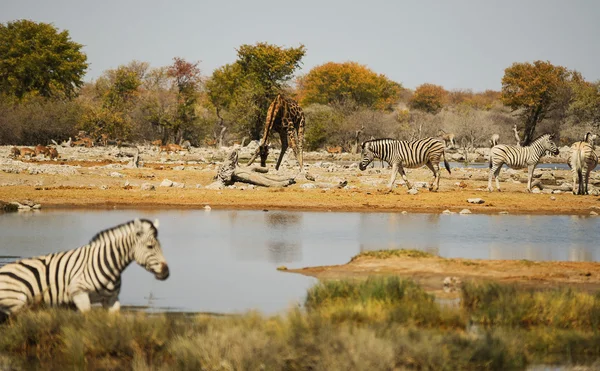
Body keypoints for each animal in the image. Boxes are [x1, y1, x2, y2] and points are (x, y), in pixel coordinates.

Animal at [0, 218, 169, 322]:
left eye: (160, 245)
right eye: (150, 246)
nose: (166, 272)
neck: (110, 264)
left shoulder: (112, 299)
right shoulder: (79, 293)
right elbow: (87, 321)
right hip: (17, 301)